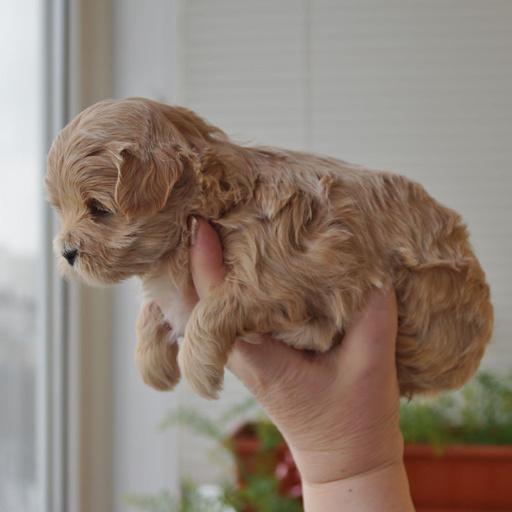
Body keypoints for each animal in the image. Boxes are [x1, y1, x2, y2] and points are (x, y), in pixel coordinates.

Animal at [45, 97, 494, 399]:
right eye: (60, 210)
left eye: (99, 209)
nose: (66, 253)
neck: (217, 200)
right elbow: (153, 306)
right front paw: (150, 361)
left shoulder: (282, 271)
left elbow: (213, 308)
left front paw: (197, 368)